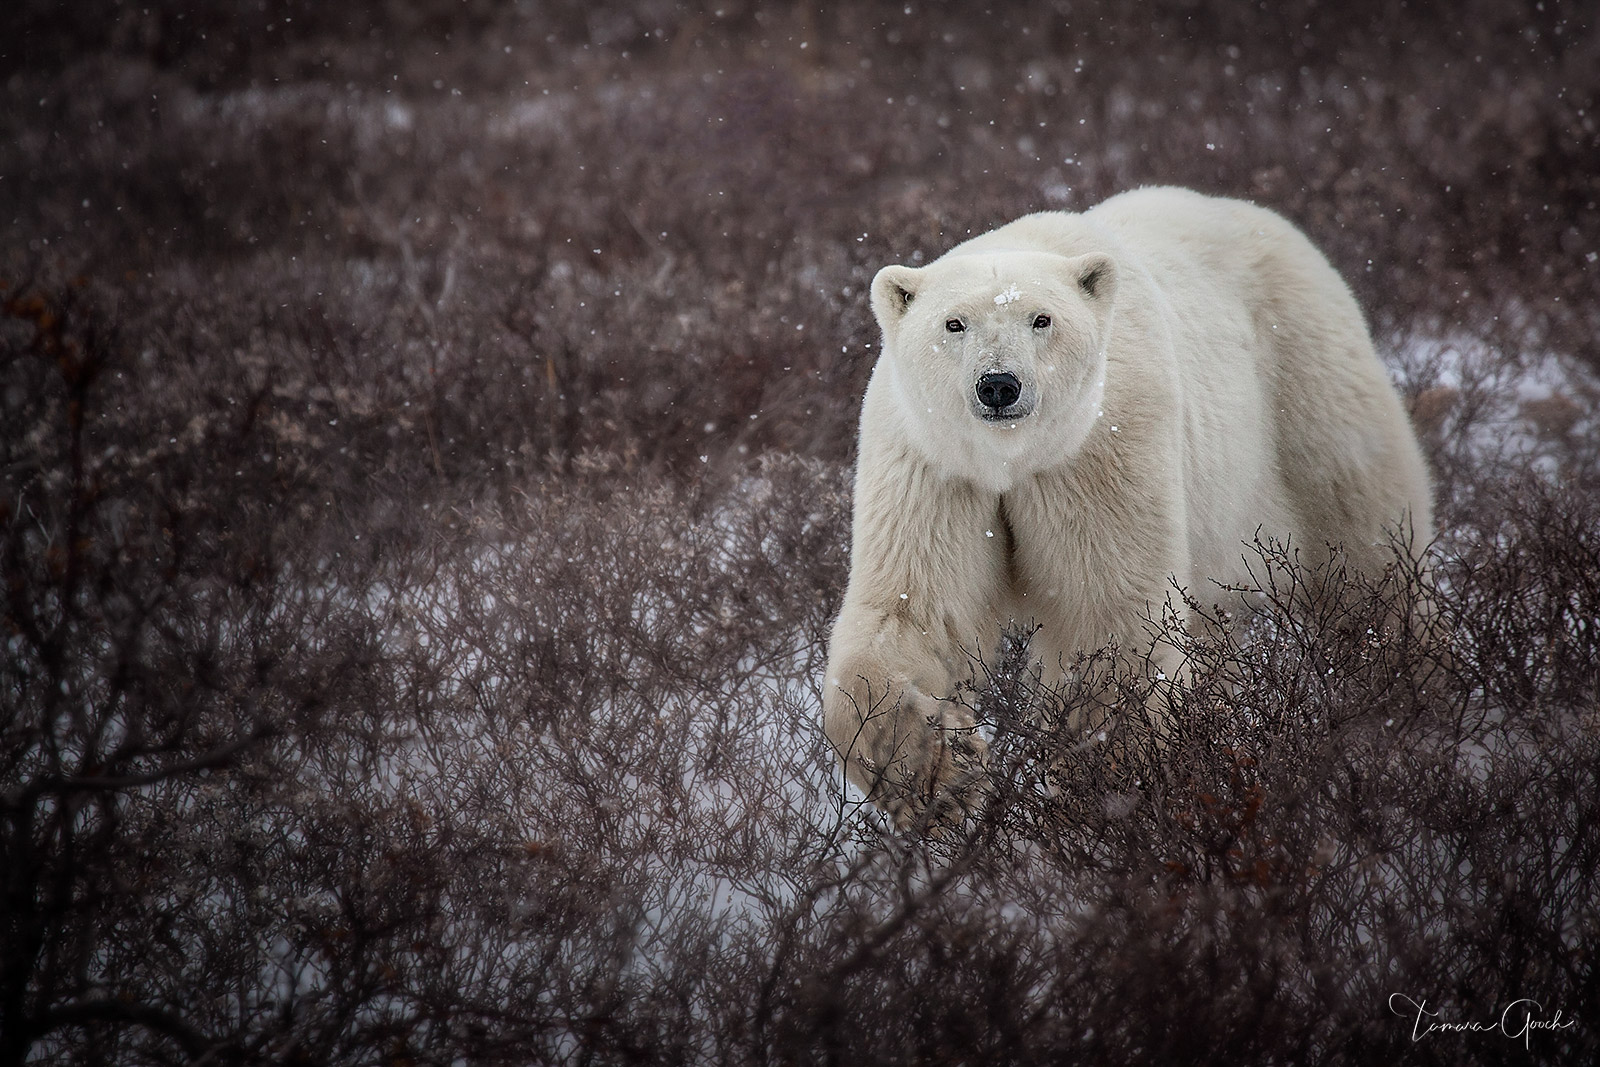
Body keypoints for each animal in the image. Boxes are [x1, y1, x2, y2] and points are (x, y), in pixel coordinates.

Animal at [825, 185, 1440, 825]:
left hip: (1305, 385)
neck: (1012, 458)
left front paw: (1114, 790)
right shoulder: (935, 463)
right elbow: (912, 610)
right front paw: (942, 773)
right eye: (955, 323)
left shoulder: (1100, 447)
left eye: (1041, 318)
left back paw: (1401, 695)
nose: (998, 385)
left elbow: (1108, 615)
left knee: (1366, 551)